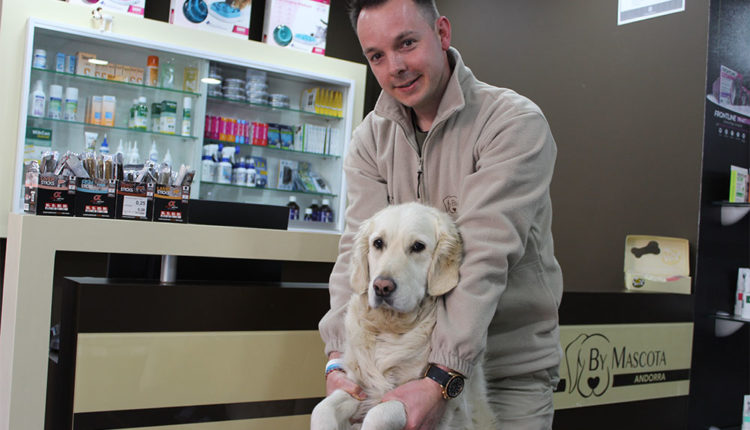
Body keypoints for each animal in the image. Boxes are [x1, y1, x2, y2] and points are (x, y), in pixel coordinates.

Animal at [311, 202, 495, 430]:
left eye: (418, 246)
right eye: (378, 243)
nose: (382, 287)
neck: (389, 328)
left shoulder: (423, 405)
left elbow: (378, 414)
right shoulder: (359, 388)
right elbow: (321, 409)